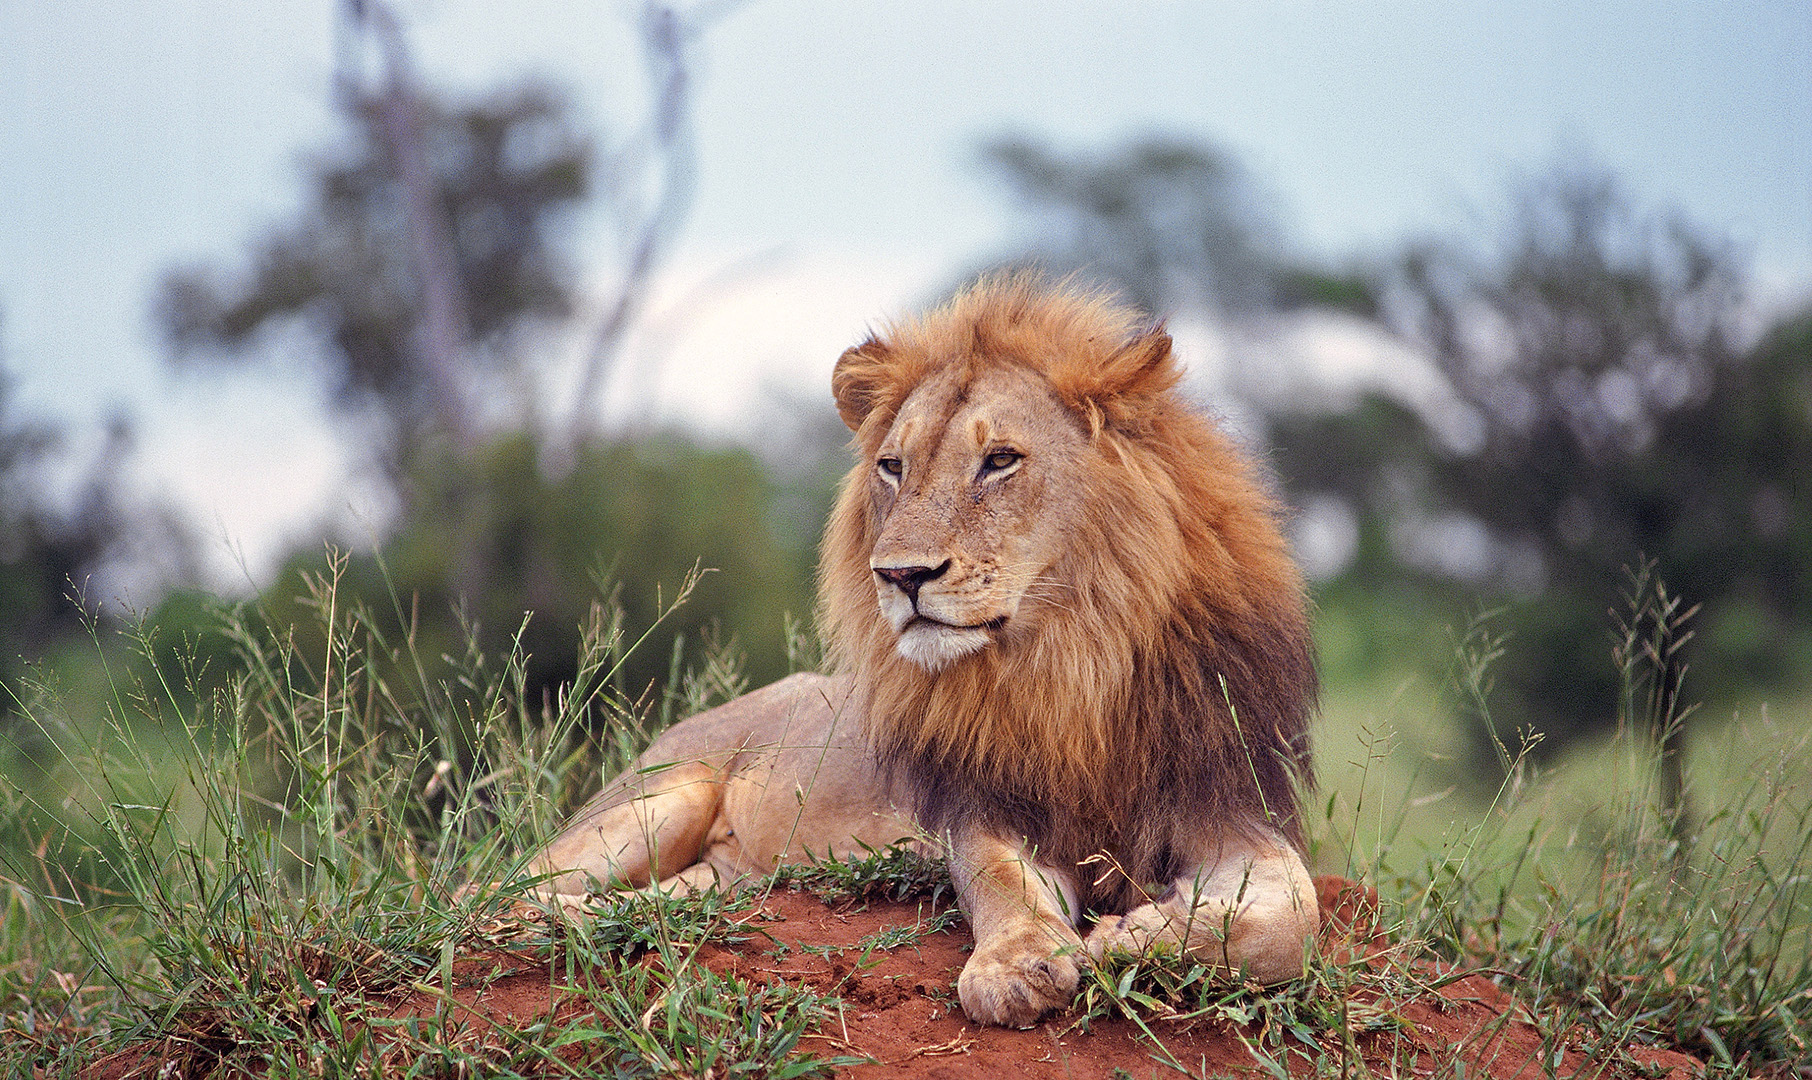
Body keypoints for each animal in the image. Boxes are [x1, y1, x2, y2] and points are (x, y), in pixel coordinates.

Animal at [522, 274, 1320, 1028]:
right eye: (893, 467)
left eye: (1000, 460)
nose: (901, 575)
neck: (1069, 663)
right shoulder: (986, 808)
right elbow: (1002, 885)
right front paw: (1018, 965)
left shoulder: (1228, 804)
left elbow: (1296, 917)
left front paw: (1139, 932)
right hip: (661, 795)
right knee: (508, 891)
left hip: (722, 871)